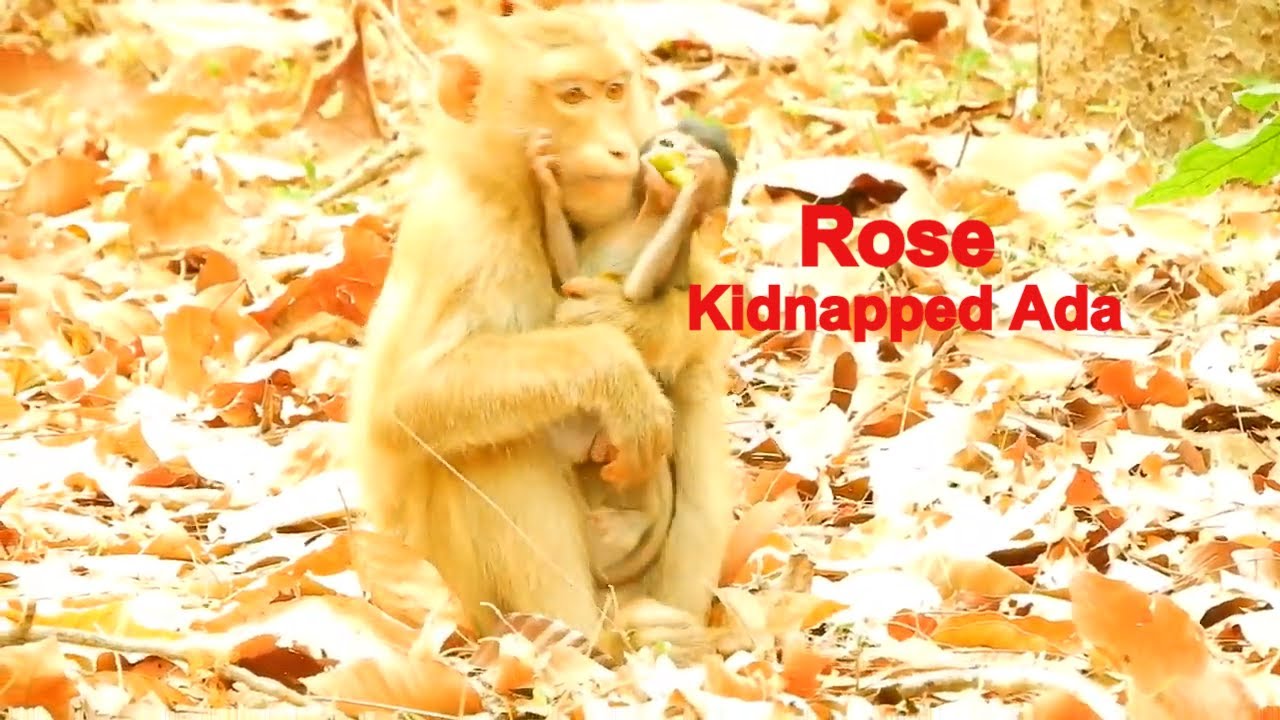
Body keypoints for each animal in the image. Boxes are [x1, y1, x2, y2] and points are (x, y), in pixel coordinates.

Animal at [527, 118, 738, 589]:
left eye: (687, 150)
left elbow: (638, 292)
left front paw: (697, 188)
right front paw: (546, 181)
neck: (646, 215)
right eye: (668, 141)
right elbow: (571, 274)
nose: (666, 151)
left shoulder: (677, 255)